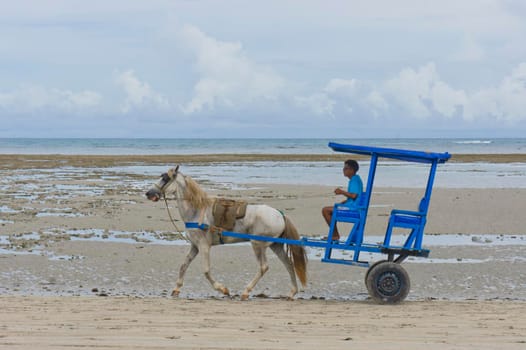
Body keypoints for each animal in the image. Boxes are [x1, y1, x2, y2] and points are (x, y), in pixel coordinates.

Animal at [145, 165, 310, 300]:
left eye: (165, 178)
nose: (148, 193)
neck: (197, 210)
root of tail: (280, 214)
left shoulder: (204, 246)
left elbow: (206, 271)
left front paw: (223, 289)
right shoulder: (195, 246)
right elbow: (183, 265)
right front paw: (176, 289)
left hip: (258, 245)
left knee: (264, 267)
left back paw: (246, 292)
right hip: (275, 245)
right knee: (288, 264)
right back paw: (292, 292)